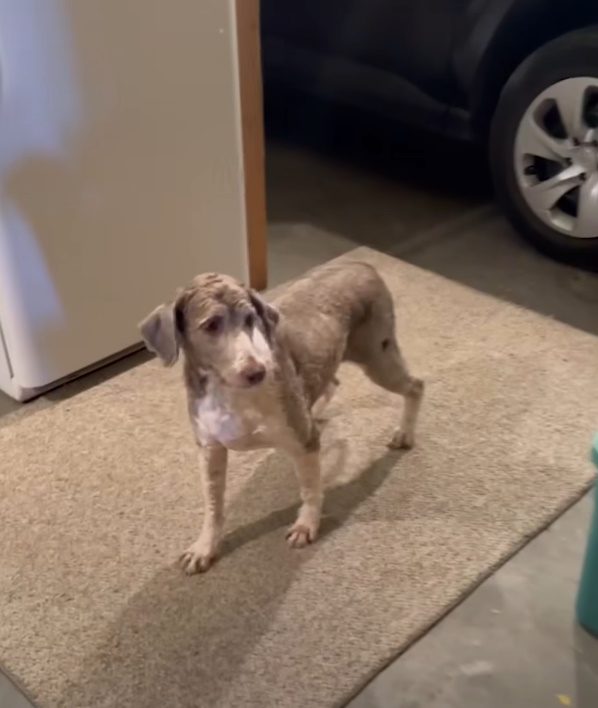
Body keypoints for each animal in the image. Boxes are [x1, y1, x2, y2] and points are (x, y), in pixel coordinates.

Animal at [139, 260, 424, 576]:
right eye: (211, 324)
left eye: (250, 319)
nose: (257, 372)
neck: (228, 393)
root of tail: (360, 262)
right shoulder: (210, 450)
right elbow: (213, 506)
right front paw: (204, 548)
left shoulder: (304, 442)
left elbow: (310, 488)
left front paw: (306, 525)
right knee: (331, 383)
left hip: (377, 357)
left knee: (416, 386)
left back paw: (405, 433)